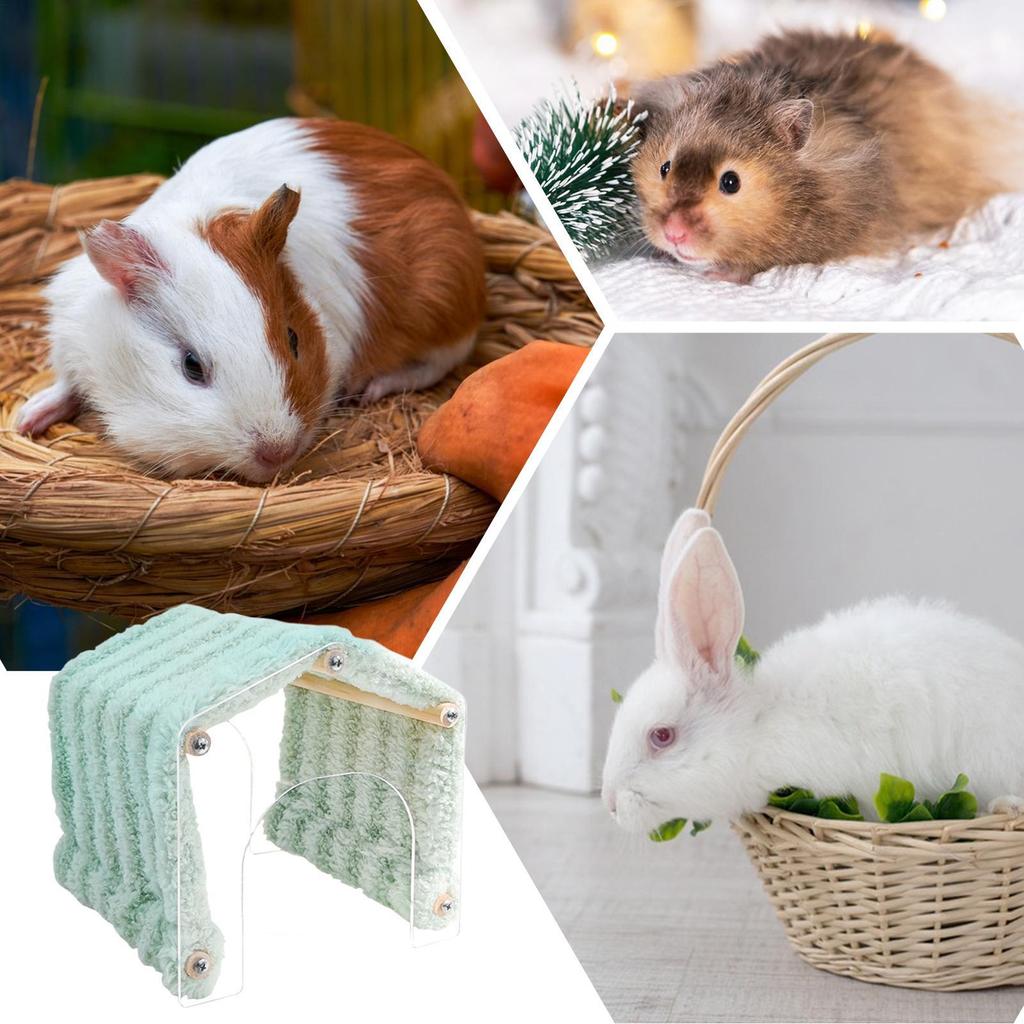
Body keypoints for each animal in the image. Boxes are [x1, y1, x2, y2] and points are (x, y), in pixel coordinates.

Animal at [17, 118, 486, 483]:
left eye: (294, 339)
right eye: (191, 366)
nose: (277, 450)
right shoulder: (70, 338)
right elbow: (65, 383)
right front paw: (27, 421)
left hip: (440, 311)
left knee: (436, 364)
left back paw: (370, 389)